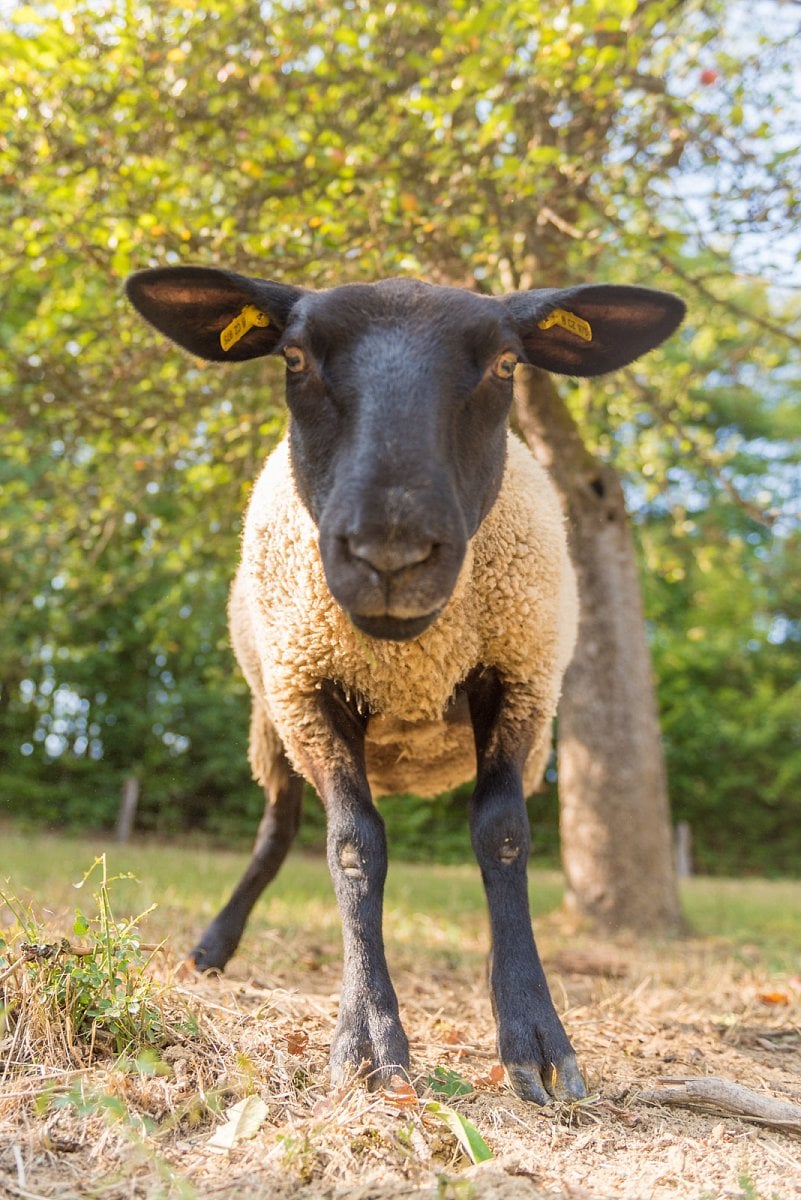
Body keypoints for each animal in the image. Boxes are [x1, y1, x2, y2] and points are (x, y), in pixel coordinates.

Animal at [128, 267, 685, 1099]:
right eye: (293, 358)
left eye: (506, 364)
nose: (390, 549)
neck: (408, 656)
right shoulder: (309, 689)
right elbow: (352, 847)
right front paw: (367, 1040)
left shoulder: (517, 680)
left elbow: (503, 838)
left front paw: (533, 1033)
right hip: (271, 722)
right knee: (277, 831)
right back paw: (212, 948)